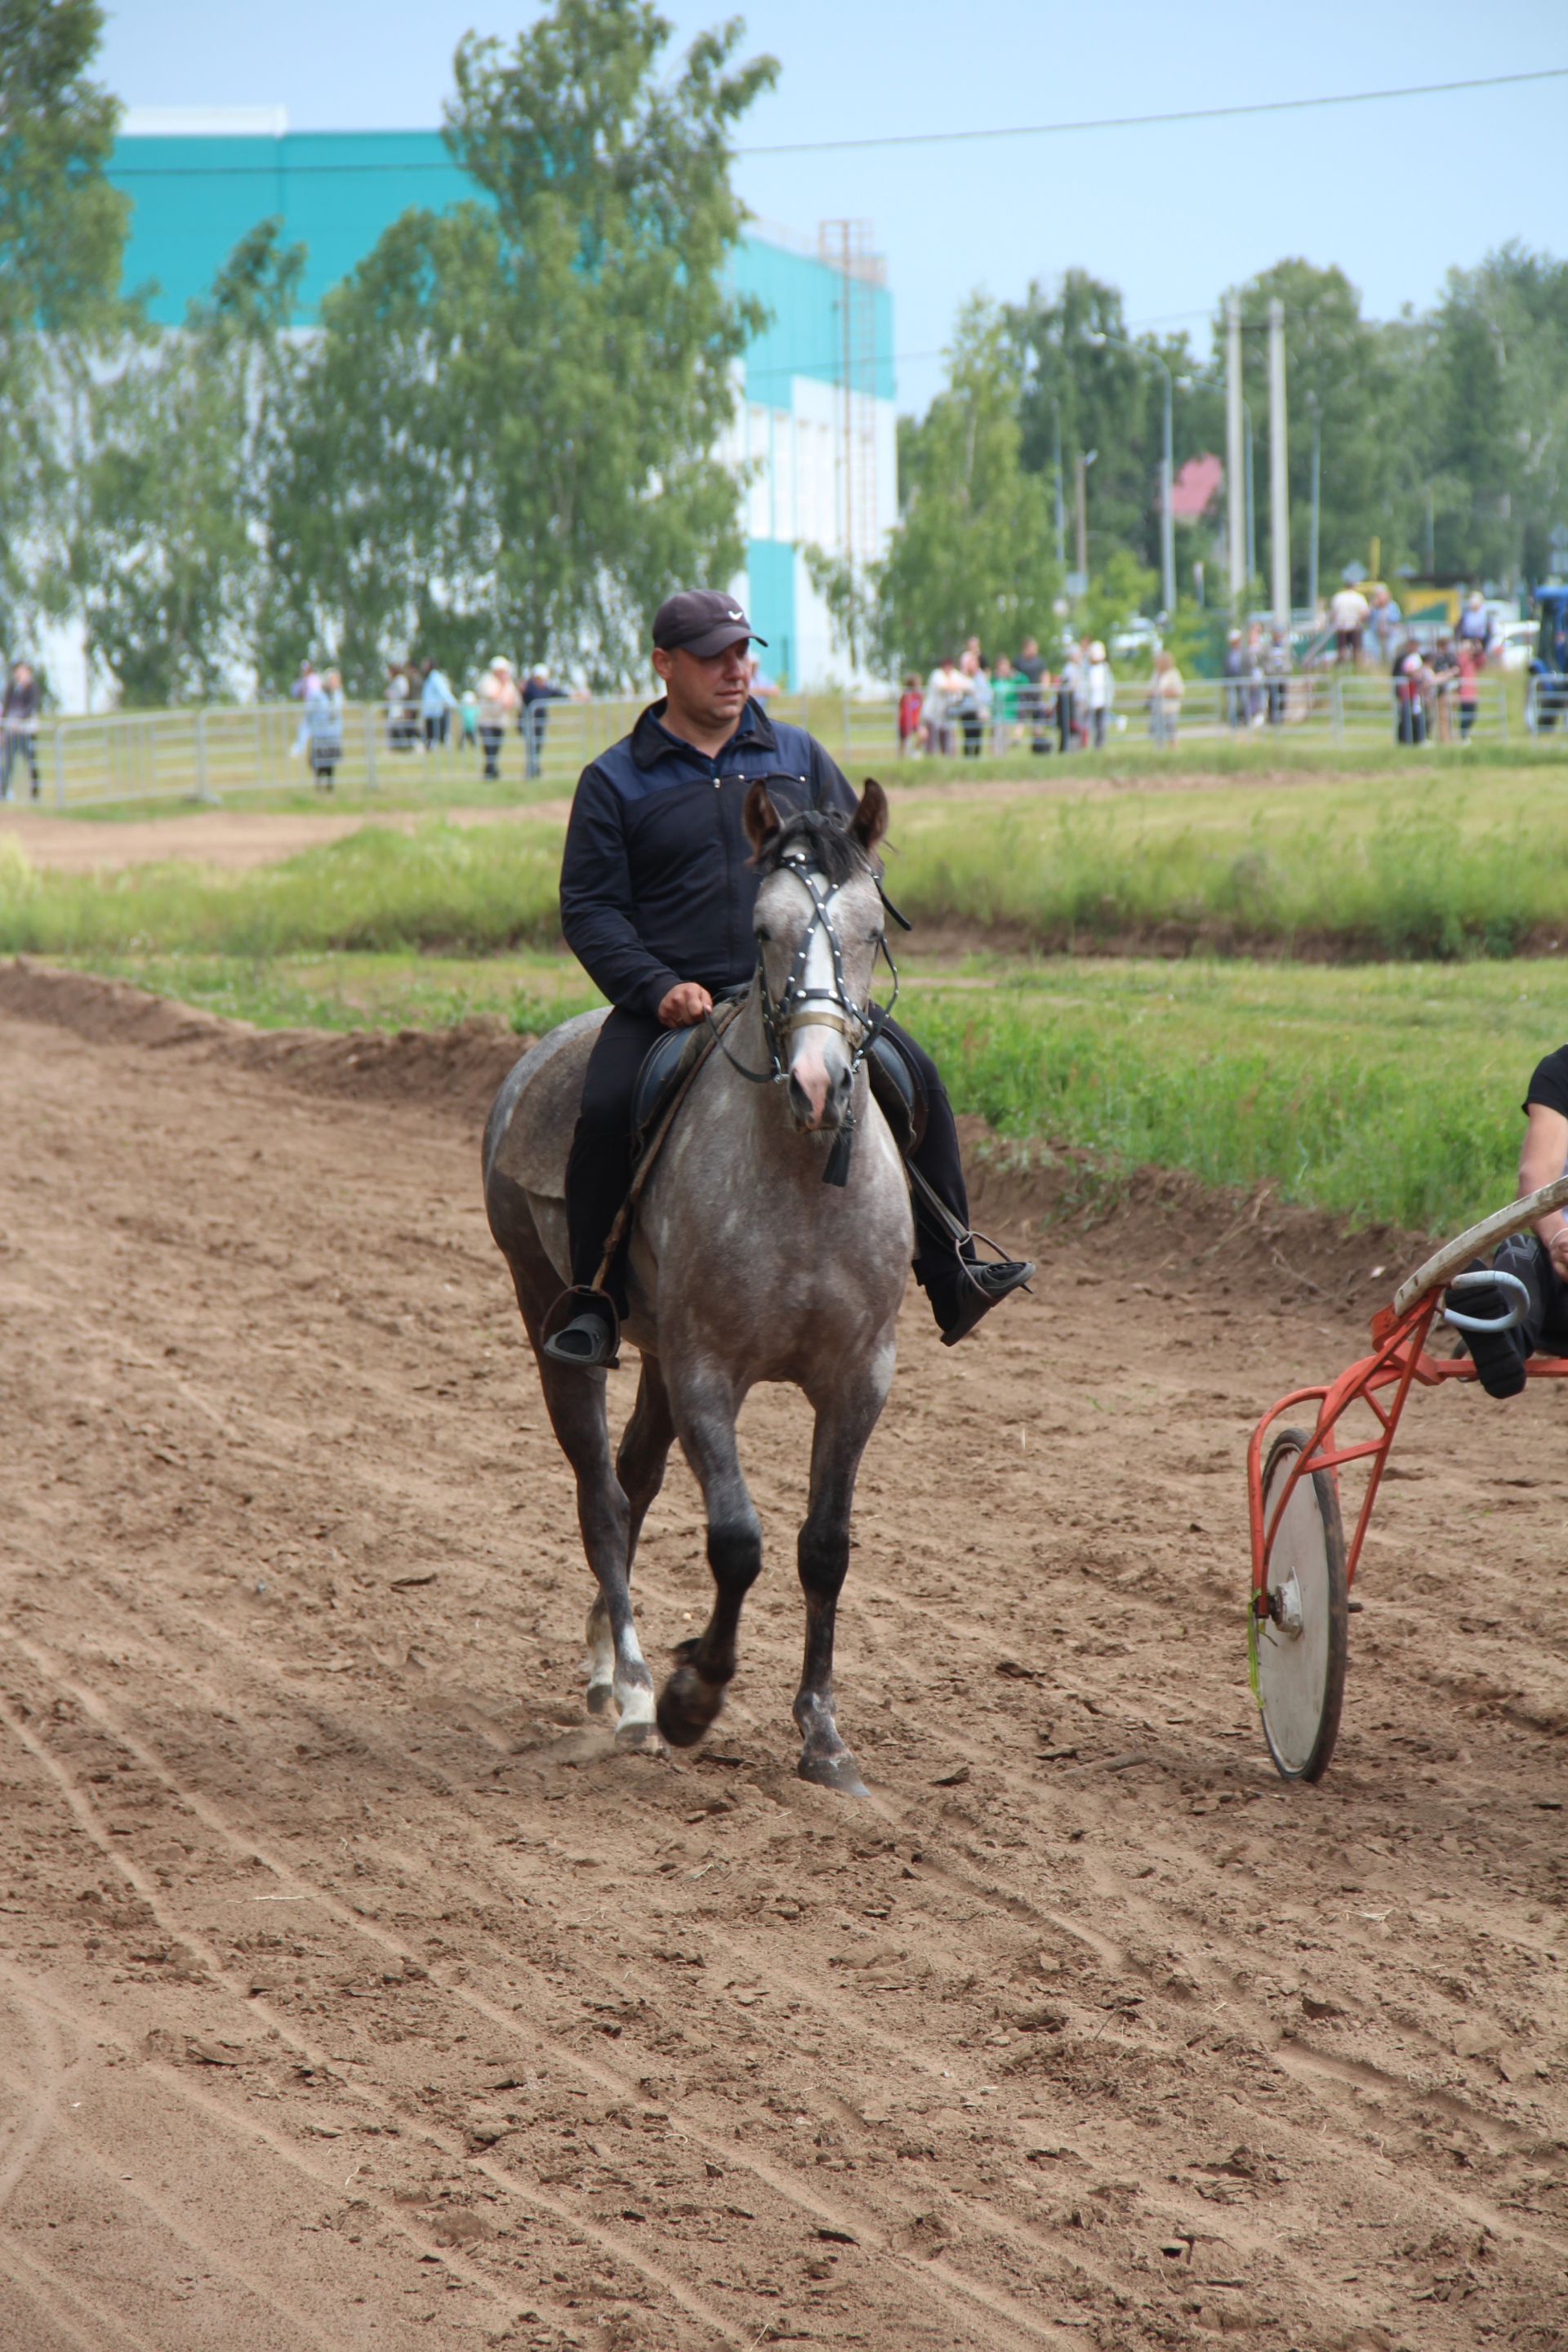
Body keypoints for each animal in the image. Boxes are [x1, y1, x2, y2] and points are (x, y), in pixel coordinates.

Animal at [483, 781, 911, 1787]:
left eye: (872, 929)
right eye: (761, 928)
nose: (819, 1085)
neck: (800, 1187)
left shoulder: (859, 1380)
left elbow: (823, 1548)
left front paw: (822, 1735)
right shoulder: (708, 1373)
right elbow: (738, 1542)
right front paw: (692, 1697)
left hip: (651, 1357)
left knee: (633, 1481)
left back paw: (608, 1663)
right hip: (555, 1323)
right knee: (602, 1498)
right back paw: (636, 1689)